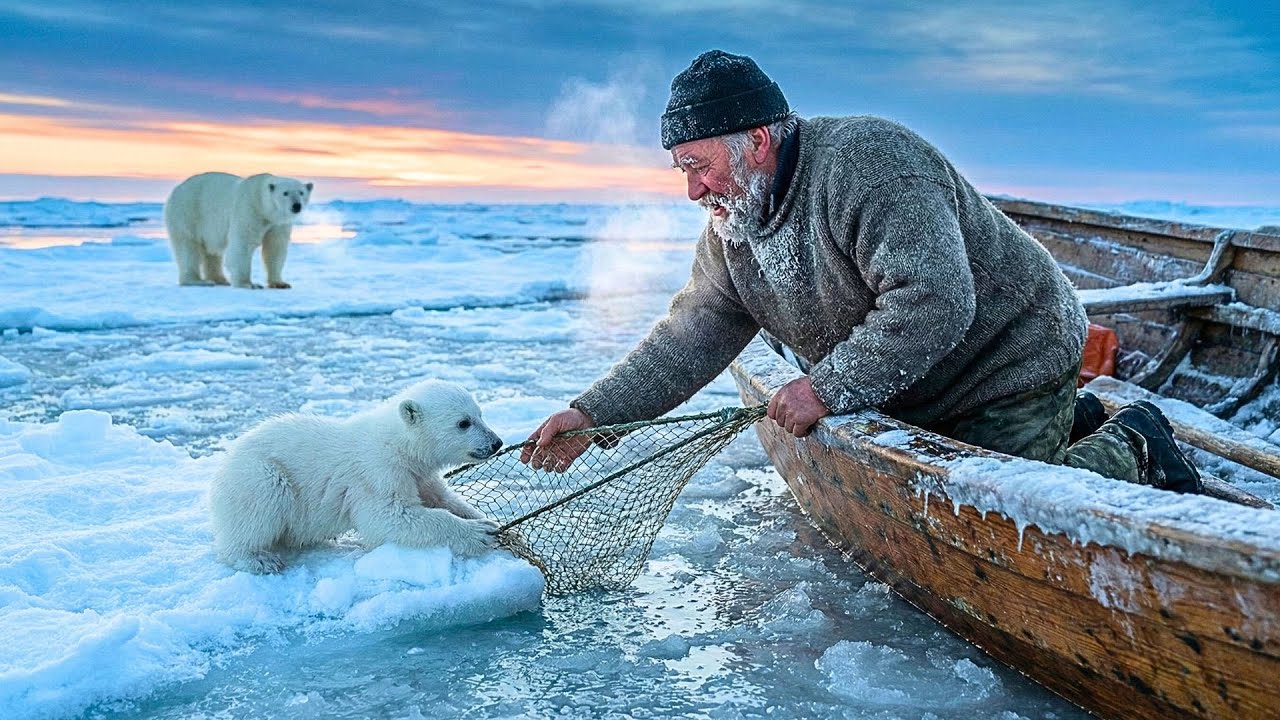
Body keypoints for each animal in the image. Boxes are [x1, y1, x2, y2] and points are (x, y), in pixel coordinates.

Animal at [163, 172, 312, 289]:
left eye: (301, 192)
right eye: (285, 193)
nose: (296, 205)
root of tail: (176, 189)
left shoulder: (278, 224)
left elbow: (275, 247)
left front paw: (280, 283)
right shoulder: (249, 210)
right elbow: (243, 244)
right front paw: (249, 284)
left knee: (212, 252)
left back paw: (220, 279)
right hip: (188, 213)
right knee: (188, 247)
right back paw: (198, 281)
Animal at [210, 379, 505, 574]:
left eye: (480, 414)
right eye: (463, 423)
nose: (496, 443)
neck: (399, 445)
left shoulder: (417, 474)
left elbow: (441, 497)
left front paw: (486, 519)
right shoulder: (378, 472)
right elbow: (389, 517)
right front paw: (480, 533)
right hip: (257, 474)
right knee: (260, 504)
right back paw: (258, 559)